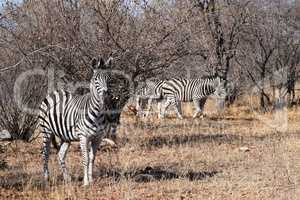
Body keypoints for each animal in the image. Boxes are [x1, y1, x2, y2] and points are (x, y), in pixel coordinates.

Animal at [37, 56, 112, 186]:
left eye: (108, 78)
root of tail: (54, 92)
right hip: (46, 130)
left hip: (65, 136)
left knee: (60, 155)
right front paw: (86, 182)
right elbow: (85, 159)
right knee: (45, 153)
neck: (98, 113)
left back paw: (67, 178)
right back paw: (46, 178)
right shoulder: (83, 136)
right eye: (96, 79)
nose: (106, 93)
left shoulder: (98, 138)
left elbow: (92, 158)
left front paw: (91, 180)